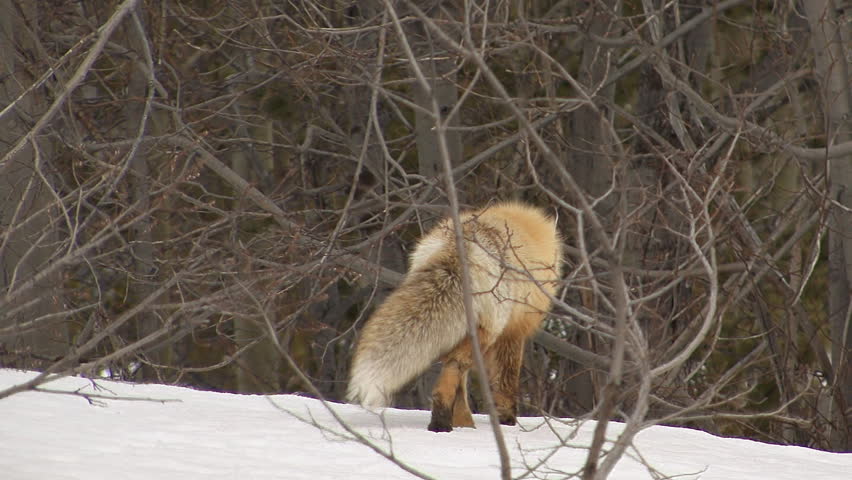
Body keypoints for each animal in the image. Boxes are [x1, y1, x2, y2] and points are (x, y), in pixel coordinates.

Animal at [347, 201, 563, 432]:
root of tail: (461, 245)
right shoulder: (513, 331)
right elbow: (506, 381)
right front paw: (507, 420)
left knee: (456, 373)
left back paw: (460, 422)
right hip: (486, 332)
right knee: (455, 368)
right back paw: (442, 422)